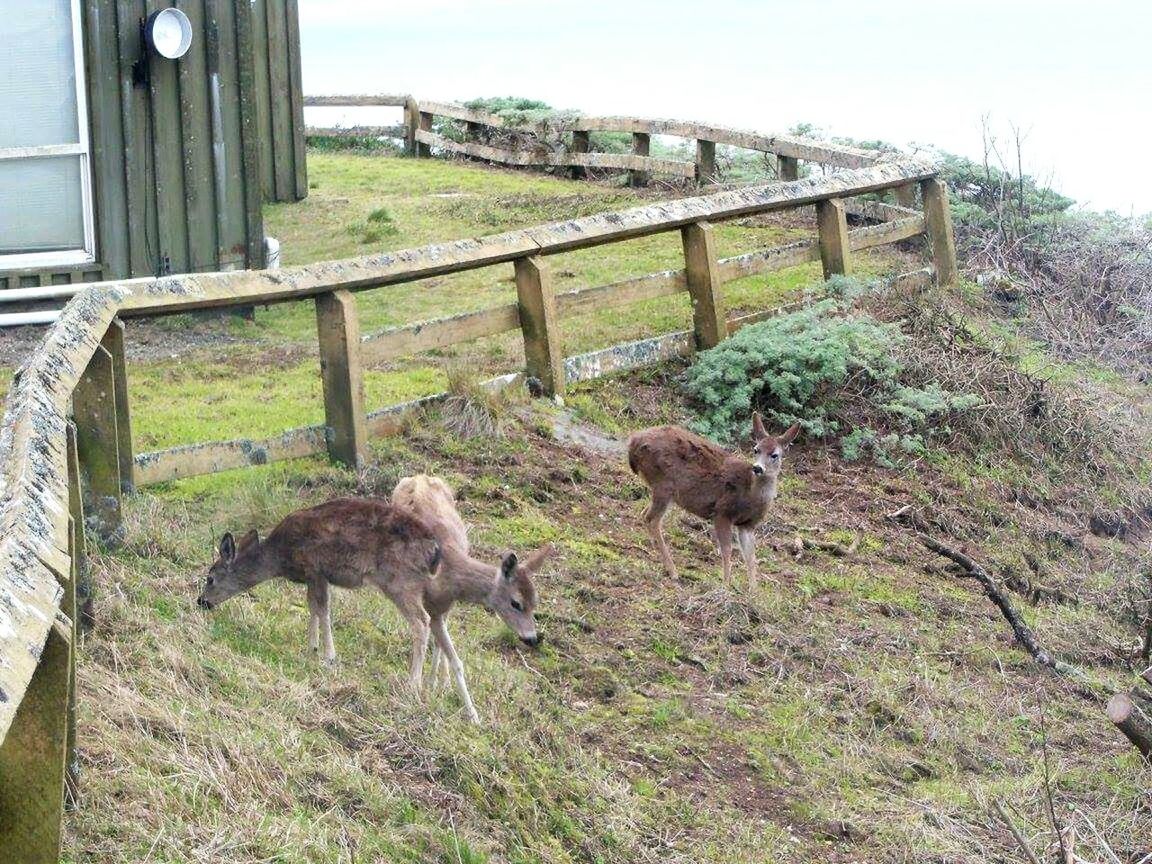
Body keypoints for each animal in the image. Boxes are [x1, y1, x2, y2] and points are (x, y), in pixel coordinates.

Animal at [391, 474, 552, 723]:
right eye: (516, 603)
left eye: (536, 602)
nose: (532, 638)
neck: (447, 572)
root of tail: (421, 476)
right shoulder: (429, 604)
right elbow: (453, 657)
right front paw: (472, 714)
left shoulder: (441, 607)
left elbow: (449, 653)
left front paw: (446, 692)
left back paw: (439, 682)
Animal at [631, 412, 801, 589]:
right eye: (756, 449)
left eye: (774, 455)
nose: (757, 468)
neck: (750, 495)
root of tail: (634, 442)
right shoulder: (722, 512)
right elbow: (727, 550)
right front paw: (726, 584)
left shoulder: (748, 525)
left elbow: (750, 557)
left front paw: (753, 590)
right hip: (664, 484)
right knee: (652, 519)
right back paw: (673, 571)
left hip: (662, 489)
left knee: (645, 514)